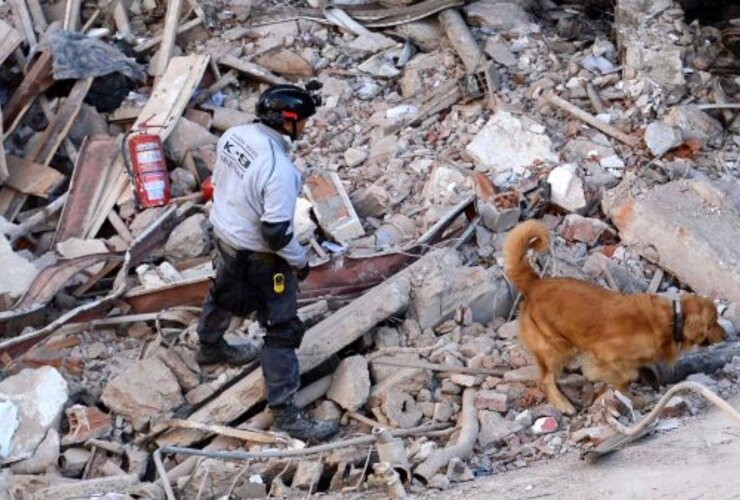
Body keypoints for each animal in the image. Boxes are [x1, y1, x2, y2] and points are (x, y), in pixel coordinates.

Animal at [502, 220, 724, 414]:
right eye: (713, 323)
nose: (726, 335)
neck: (672, 318)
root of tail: (535, 284)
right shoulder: (605, 354)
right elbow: (622, 377)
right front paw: (630, 397)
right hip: (553, 346)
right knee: (546, 379)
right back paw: (562, 402)